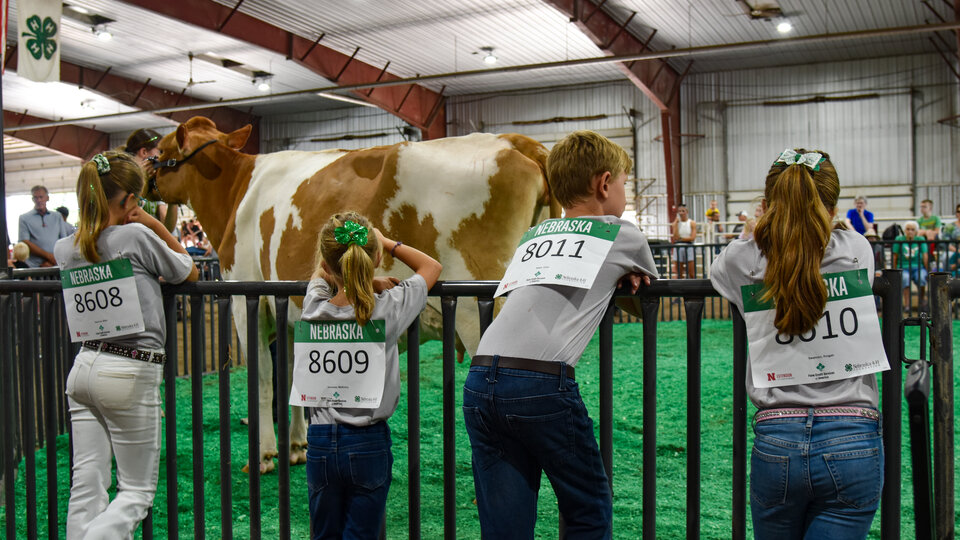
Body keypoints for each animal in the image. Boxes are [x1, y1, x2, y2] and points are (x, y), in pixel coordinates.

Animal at [153, 116, 560, 470]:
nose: (146, 179)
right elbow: (291, 376)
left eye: (159, 151)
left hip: (481, 311)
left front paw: (265, 455)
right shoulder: (289, 310)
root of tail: (514, 141)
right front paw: (296, 446)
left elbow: (264, 378)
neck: (237, 189)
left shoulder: (243, 296)